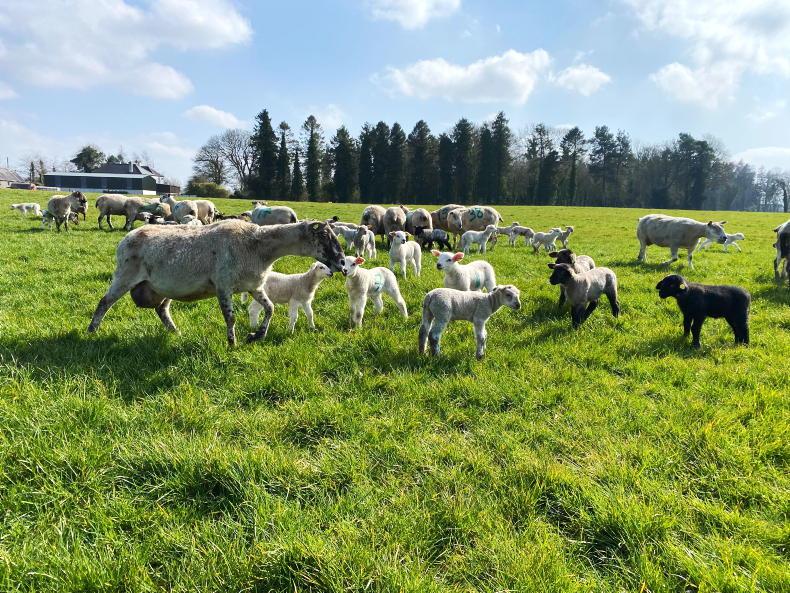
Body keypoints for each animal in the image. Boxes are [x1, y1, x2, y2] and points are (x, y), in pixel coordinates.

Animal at [87, 220, 346, 347]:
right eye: (324, 236)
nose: (343, 263)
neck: (258, 247)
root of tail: (127, 236)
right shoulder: (223, 285)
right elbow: (230, 318)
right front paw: (232, 344)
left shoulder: (254, 285)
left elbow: (271, 308)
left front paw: (256, 336)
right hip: (124, 275)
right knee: (104, 302)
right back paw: (91, 332)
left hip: (164, 287)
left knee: (161, 309)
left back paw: (176, 332)